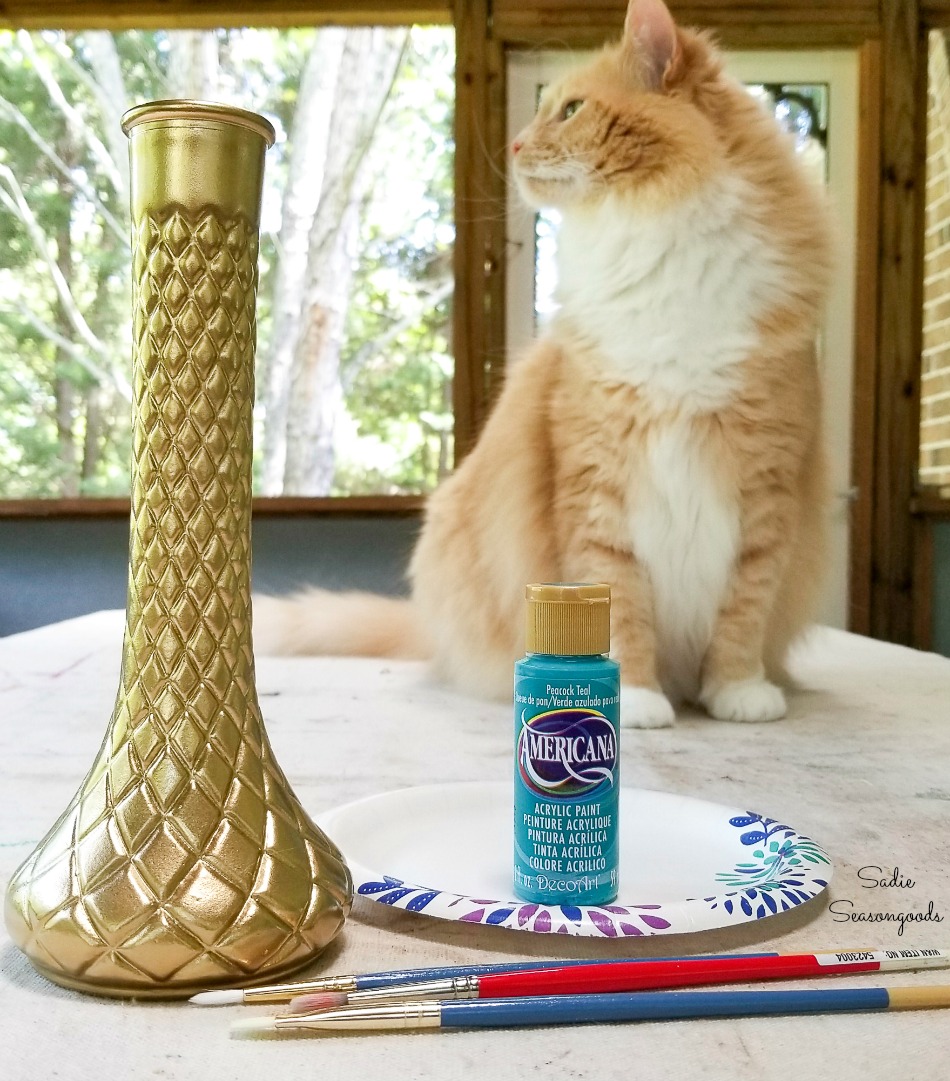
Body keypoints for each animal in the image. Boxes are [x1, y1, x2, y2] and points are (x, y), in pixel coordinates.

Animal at [253, 0, 830, 730]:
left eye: (571, 110)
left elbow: (743, 613)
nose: (515, 147)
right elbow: (619, 603)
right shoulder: (594, 485)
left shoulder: (766, 491)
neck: (655, 247)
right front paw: (638, 699)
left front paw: (737, 694)